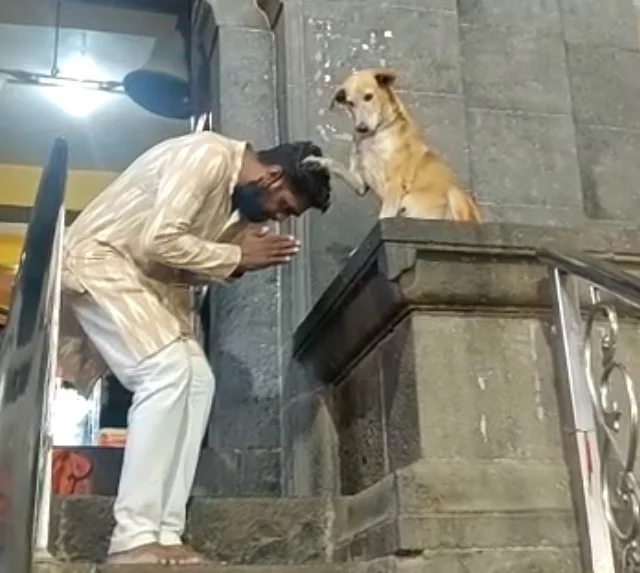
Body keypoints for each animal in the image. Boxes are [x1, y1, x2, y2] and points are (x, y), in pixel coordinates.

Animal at [304, 68, 480, 222]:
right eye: (350, 103)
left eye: (369, 96)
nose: (361, 128)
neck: (373, 137)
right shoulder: (360, 182)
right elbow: (337, 165)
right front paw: (317, 162)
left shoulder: (395, 183)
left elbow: (385, 216)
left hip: (455, 195)